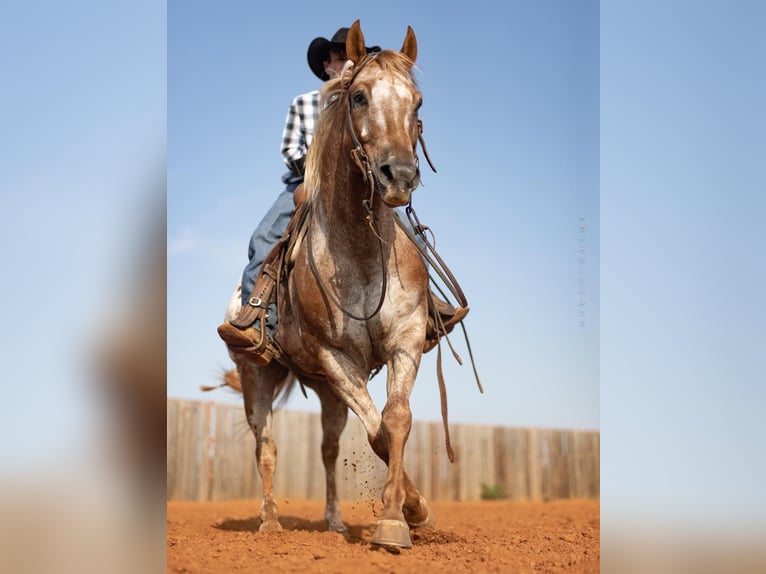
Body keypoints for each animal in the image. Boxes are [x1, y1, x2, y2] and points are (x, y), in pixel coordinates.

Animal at [225, 20, 436, 552]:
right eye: (359, 96)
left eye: (417, 101)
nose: (400, 175)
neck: (359, 250)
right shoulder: (336, 357)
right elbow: (378, 433)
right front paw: (402, 512)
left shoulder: (405, 342)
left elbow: (394, 421)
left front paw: (406, 514)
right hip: (258, 374)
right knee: (267, 445)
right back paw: (270, 521)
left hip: (325, 388)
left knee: (327, 446)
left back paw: (335, 522)